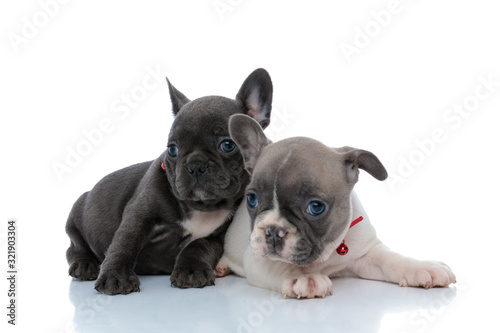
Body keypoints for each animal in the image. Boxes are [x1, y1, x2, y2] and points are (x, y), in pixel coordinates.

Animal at [65, 68, 274, 294]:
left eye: (228, 145)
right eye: (172, 149)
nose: (195, 165)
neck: (202, 207)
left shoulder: (218, 236)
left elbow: (198, 246)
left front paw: (191, 270)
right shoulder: (138, 215)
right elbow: (125, 242)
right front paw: (115, 275)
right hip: (75, 217)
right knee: (75, 248)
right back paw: (85, 265)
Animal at [217, 114, 456, 298]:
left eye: (316, 207)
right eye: (252, 199)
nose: (273, 231)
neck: (327, 253)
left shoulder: (366, 253)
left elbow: (392, 260)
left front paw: (423, 267)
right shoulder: (256, 258)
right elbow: (280, 264)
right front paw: (302, 277)